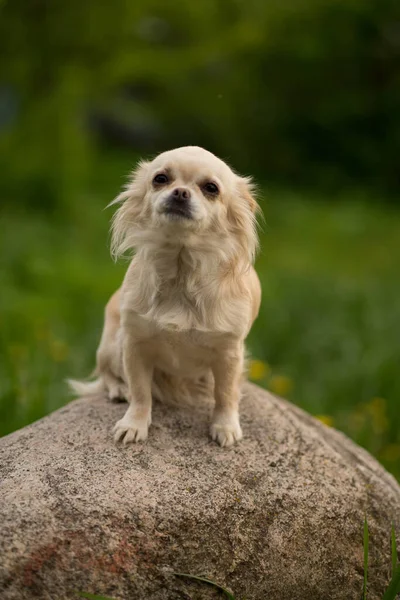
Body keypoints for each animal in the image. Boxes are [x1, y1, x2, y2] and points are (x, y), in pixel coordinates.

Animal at [69, 145, 262, 446]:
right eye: (160, 179)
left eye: (211, 188)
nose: (180, 192)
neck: (181, 271)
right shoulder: (135, 344)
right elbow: (140, 392)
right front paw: (134, 424)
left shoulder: (229, 353)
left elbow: (225, 394)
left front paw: (225, 426)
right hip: (113, 342)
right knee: (107, 372)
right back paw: (118, 389)